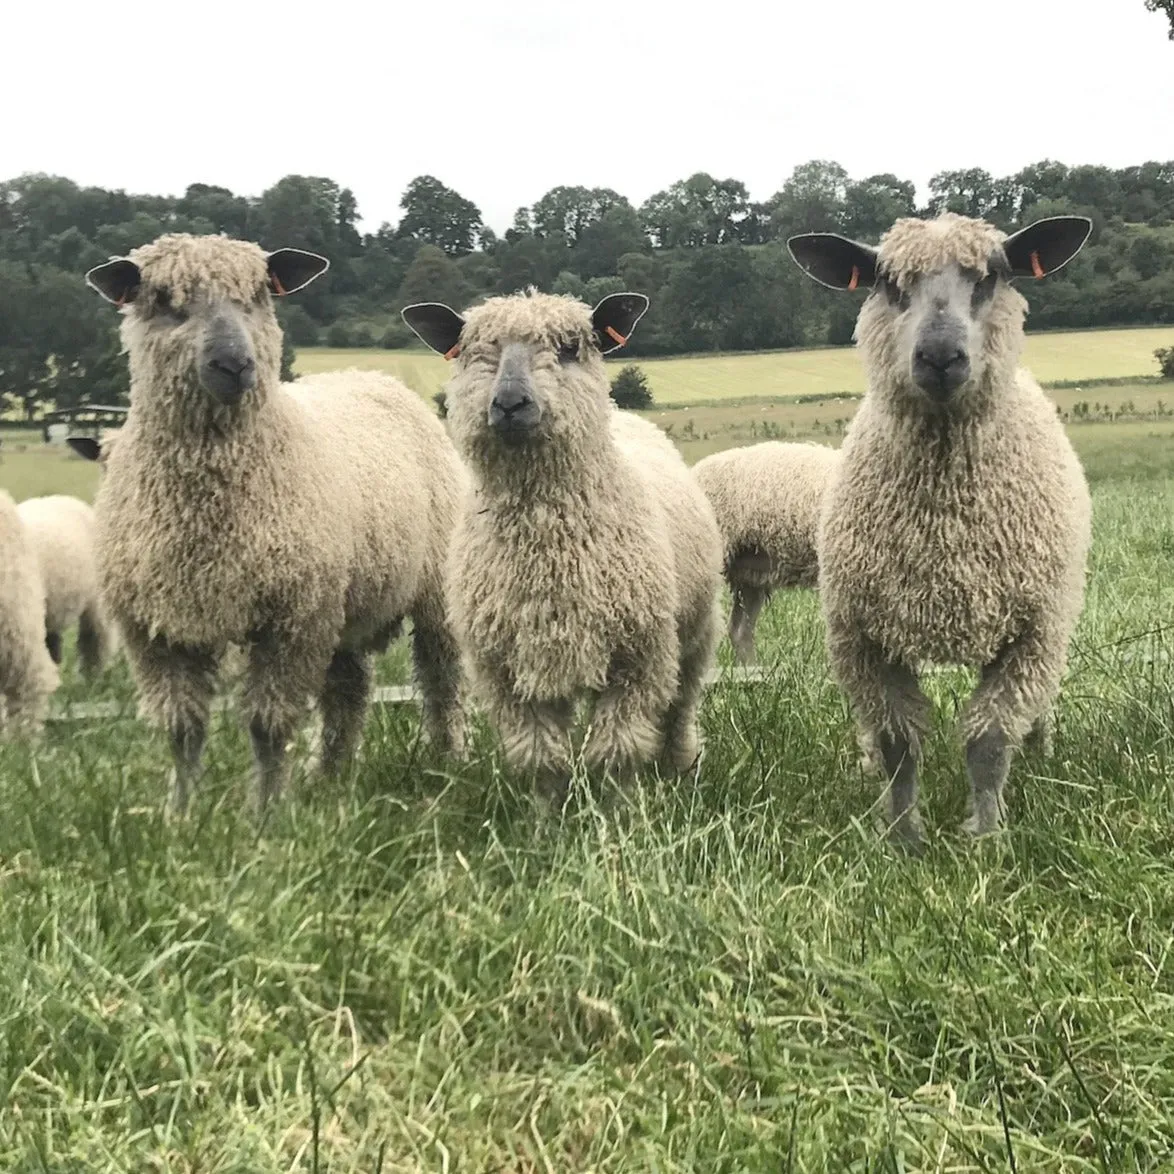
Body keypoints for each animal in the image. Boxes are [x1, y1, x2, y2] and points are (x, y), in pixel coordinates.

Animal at [85, 233, 467, 812]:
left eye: (259, 295)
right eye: (164, 300)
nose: (234, 363)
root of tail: (370, 376)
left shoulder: (290, 619)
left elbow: (267, 725)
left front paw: (266, 814)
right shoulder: (156, 628)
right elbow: (181, 729)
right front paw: (181, 813)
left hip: (425, 591)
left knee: (442, 679)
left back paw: (447, 760)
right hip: (339, 603)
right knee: (348, 688)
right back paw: (329, 774)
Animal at [403, 288, 723, 807]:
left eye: (570, 348)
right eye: (471, 351)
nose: (509, 402)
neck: (549, 551)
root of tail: (626, 416)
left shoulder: (636, 660)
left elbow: (616, 751)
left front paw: (618, 813)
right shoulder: (510, 674)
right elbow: (541, 758)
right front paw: (546, 818)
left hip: (694, 634)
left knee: (680, 706)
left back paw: (679, 767)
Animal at [784, 213, 1094, 854]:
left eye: (993, 276)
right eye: (886, 282)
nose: (941, 356)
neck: (944, 529)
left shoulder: (1029, 634)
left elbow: (989, 742)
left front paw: (986, 838)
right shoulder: (865, 638)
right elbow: (898, 745)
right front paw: (903, 840)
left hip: (1050, 628)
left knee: (1039, 703)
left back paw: (1041, 752)